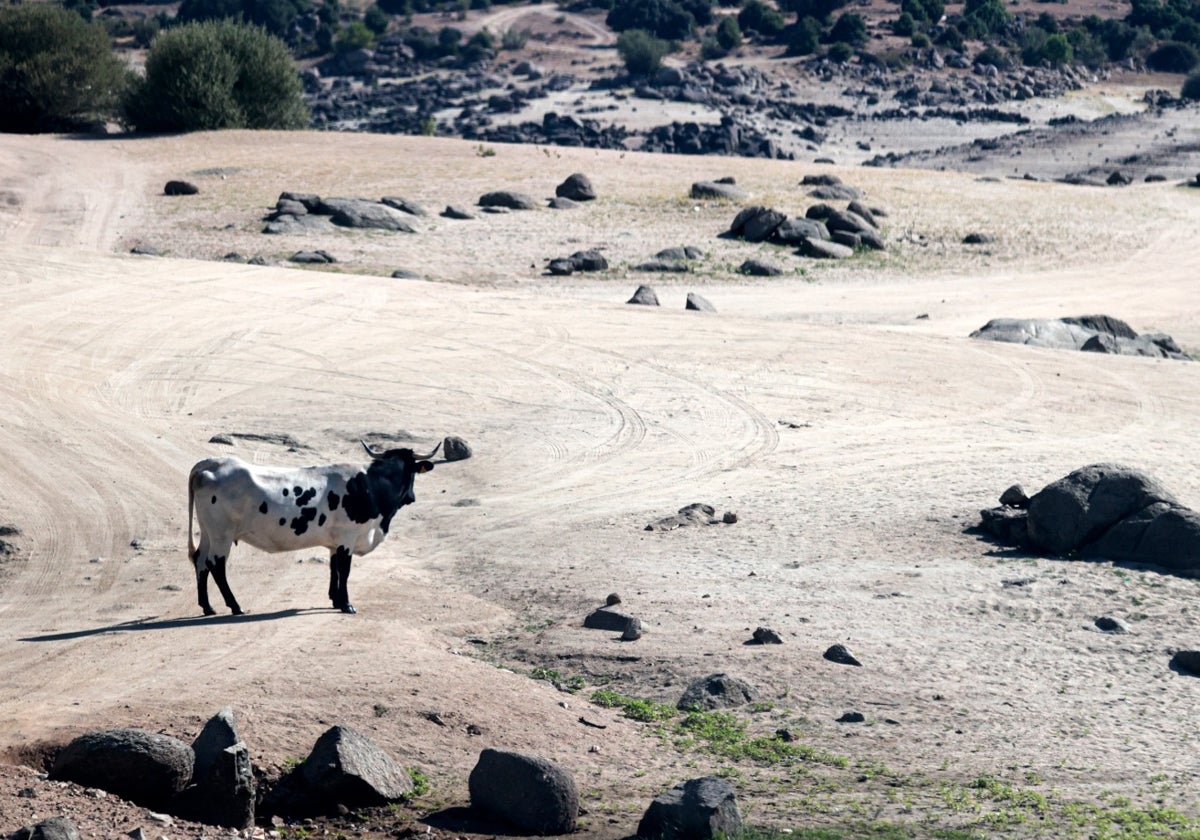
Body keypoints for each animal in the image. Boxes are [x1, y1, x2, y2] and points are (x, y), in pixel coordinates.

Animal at [182, 439, 436, 619]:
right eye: (412, 473)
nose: (412, 498)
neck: (368, 486)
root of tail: (212, 463)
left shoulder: (335, 542)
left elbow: (333, 569)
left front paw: (335, 599)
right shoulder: (348, 536)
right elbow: (344, 571)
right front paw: (346, 604)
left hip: (208, 532)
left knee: (200, 560)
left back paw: (207, 606)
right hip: (221, 534)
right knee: (216, 565)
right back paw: (235, 606)